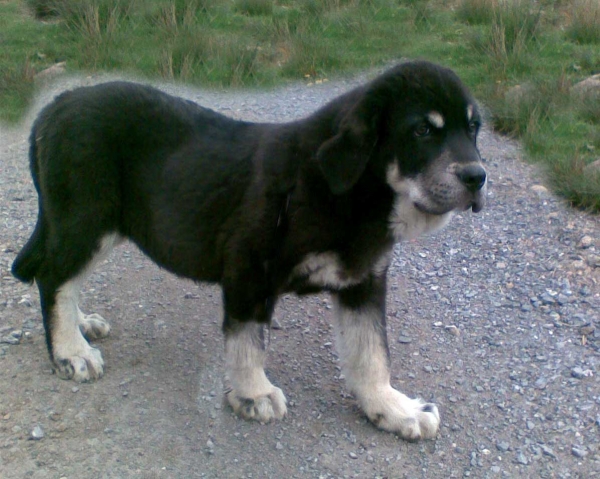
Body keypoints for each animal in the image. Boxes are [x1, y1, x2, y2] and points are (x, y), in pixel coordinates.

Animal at [11, 60, 486, 442]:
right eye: (422, 130)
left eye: (473, 128)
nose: (478, 177)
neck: (352, 198)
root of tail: (53, 107)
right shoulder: (249, 269)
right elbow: (248, 341)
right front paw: (252, 394)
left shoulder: (364, 281)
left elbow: (371, 353)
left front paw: (391, 408)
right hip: (87, 219)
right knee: (54, 278)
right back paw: (70, 351)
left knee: (64, 278)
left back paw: (80, 327)